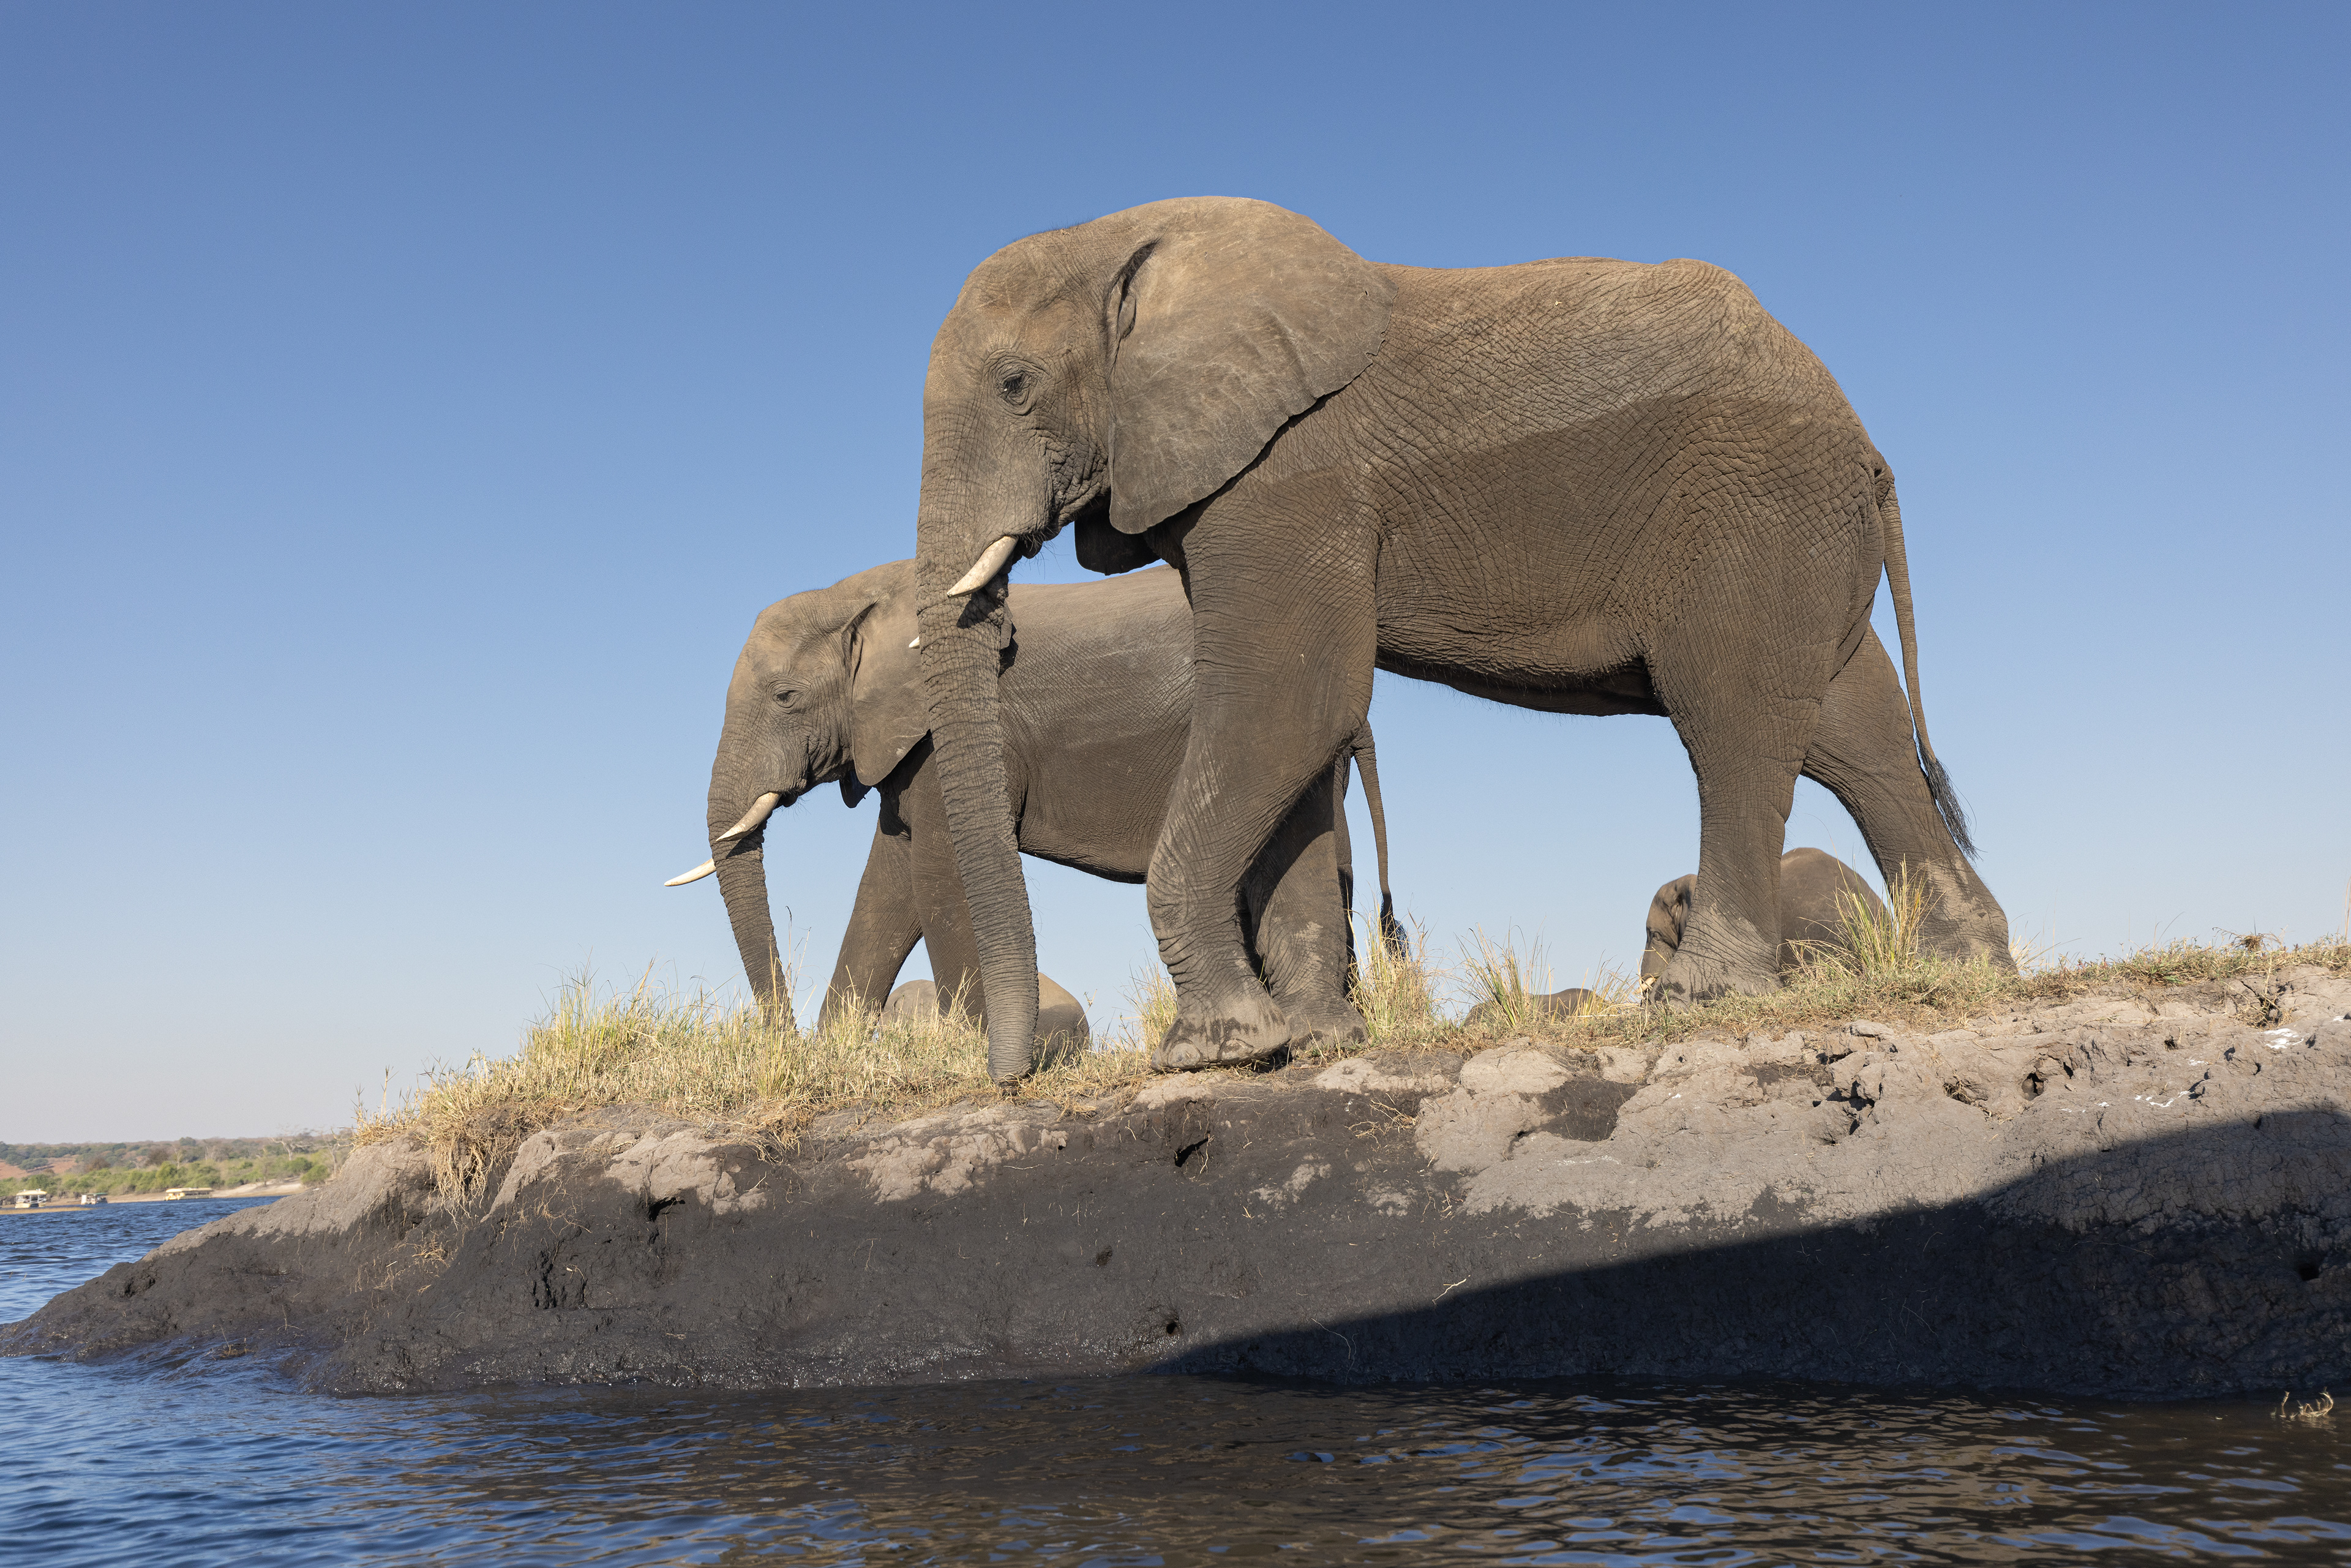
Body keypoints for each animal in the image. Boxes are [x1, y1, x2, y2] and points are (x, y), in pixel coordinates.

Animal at [666, 558, 1397, 1063]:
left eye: (786, 696)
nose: (783, 1041)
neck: (862, 590)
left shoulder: (952, 737)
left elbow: (934, 877)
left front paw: (968, 1052)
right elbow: (887, 886)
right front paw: (837, 1050)